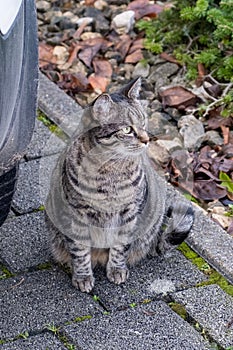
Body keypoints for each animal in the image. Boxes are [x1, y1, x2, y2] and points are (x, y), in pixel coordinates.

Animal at [46, 78, 195, 292]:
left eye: (143, 122)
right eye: (127, 129)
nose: (146, 140)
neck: (109, 172)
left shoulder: (130, 212)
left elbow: (120, 247)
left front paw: (117, 269)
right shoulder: (75, 214)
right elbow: (80, 251)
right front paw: (83, 276)